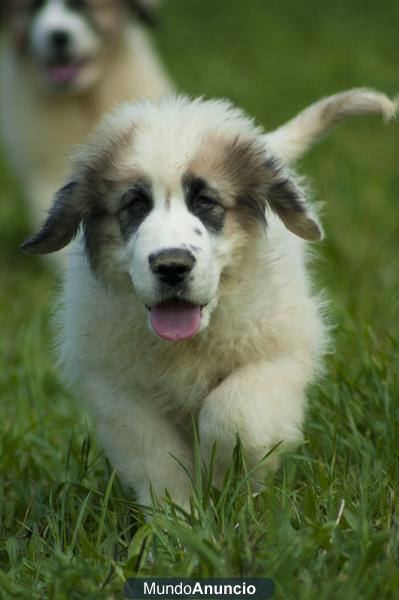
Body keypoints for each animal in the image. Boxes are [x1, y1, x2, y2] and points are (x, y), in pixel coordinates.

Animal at [23, 90, 398, 510]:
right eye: (134, 205)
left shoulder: (277, 355)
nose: (172, 265)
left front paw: (222, 480)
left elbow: (234, 414)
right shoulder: (117, 387)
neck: (189, 343)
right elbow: (153, 454)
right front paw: (175, 516)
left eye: (205, 201)